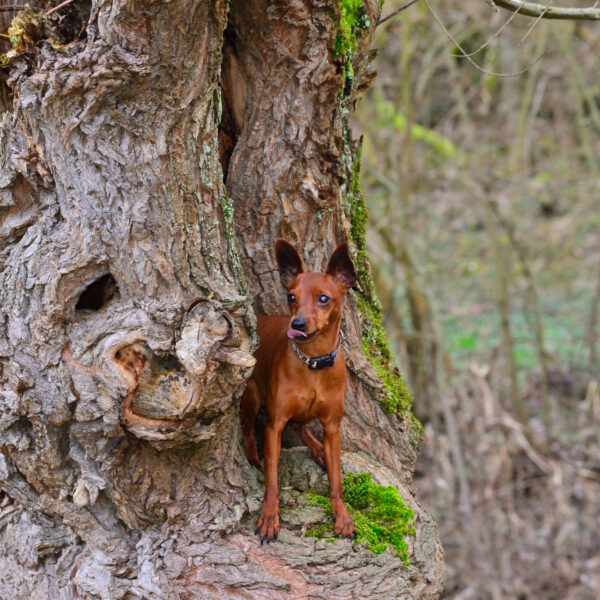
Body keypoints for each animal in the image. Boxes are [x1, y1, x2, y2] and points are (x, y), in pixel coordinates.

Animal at [240, 239, 356, 544]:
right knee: (248, 428)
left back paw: (317, 449)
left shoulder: (332, 427)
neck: (313, 362)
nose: (298, 324)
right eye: (291, 297)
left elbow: (336, 482)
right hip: (252, 395)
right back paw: (252, 456)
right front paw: (269, 517)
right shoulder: (274, 425)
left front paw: (342, 516)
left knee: (302, 425)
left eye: (323, 298)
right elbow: (272, 479)